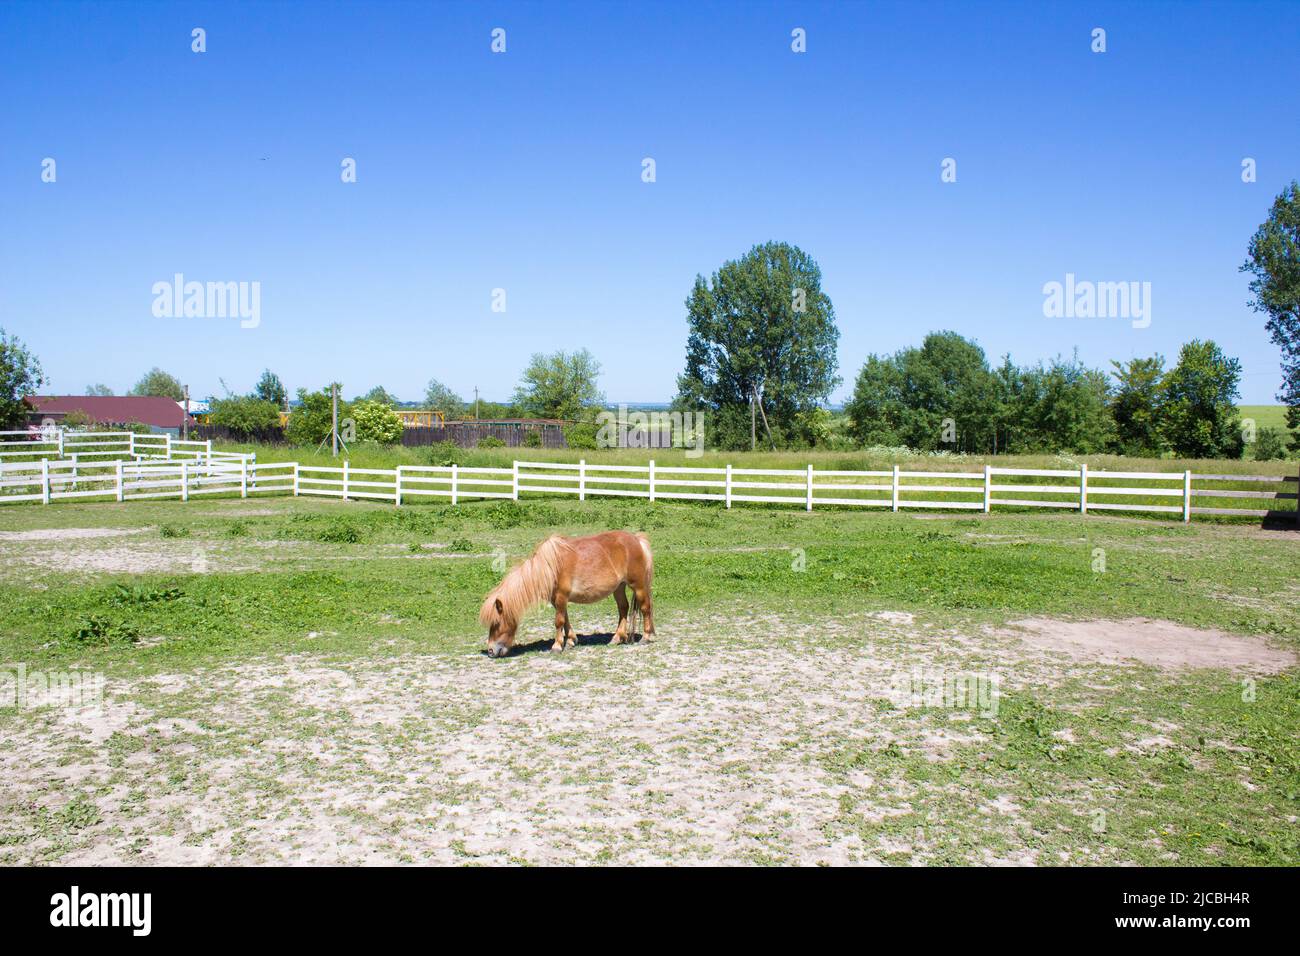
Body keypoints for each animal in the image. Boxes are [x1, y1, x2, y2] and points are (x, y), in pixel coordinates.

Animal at [480, 530, 655, 658]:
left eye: (496, 623)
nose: (490, 651)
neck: (550, 567)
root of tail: (637, 539)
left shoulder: (561, 597)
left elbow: (559, 621)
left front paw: (557, 646)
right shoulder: (557, 600)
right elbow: (565, 620)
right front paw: (571, 641)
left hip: (638, 586)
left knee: (645, 608)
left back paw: (646, 637)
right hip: (619, 587)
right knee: (623, 609)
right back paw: (617, 638)